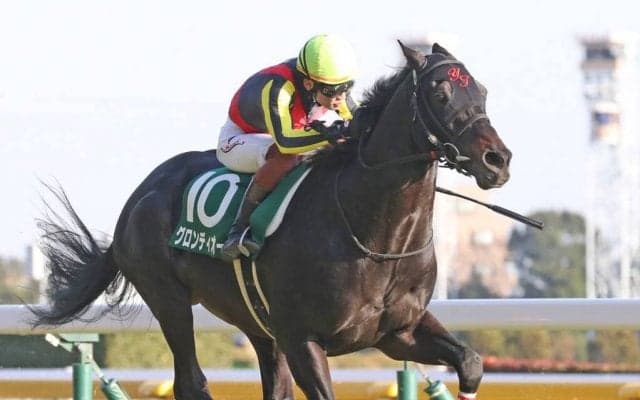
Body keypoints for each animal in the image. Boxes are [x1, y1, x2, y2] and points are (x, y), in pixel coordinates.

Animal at [31, 41, 511, 400]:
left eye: (483, 92)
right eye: (440, 95)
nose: (497, 160)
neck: (377, 236)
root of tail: (138, 197)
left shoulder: (397, 332)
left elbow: (470, 362)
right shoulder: (303, 339)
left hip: (257, 323)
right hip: (168, 299)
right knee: (192, 381)